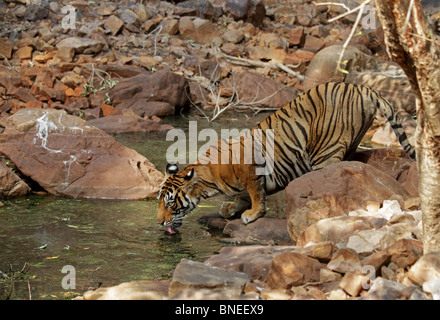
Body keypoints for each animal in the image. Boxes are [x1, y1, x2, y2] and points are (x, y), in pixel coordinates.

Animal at [158, 81, 416, 234]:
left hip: (326, 150)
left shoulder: (250, 168)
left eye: (170, 203)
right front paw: (231, 209)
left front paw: (252, 215)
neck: (208, 182)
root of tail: (362, 87)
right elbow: (243, 195)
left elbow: (255, 193)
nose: (159, 222)